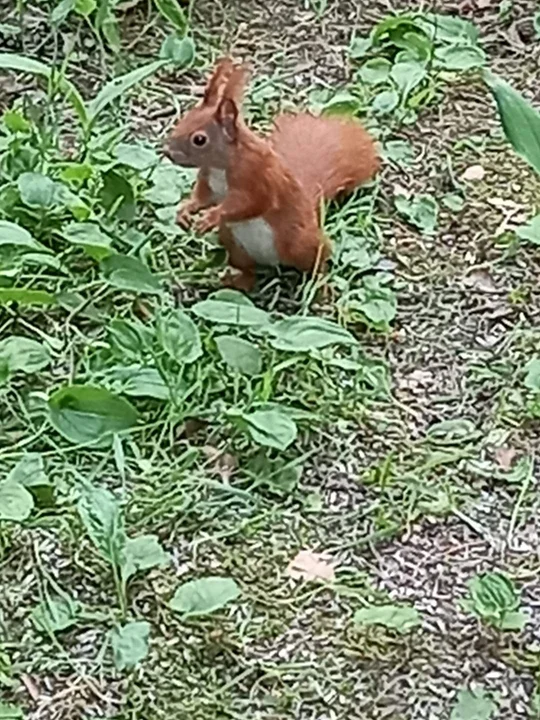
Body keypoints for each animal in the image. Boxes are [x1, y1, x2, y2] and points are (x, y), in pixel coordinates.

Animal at [165, 57, 380, 292]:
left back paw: (321, 290)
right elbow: (202, 197)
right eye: (184, 119)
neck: (222, 165)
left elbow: (250, 203)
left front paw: (211, 216)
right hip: (234, 245)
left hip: (300, 244)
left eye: (199, 139)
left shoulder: (256, 176)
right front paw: (185, 210)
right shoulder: (208, 179)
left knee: (319, 264)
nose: (167, 152)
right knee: (249, 274)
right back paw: (233, 281)